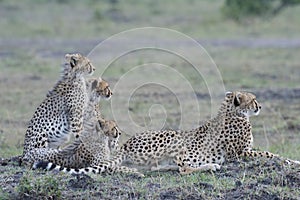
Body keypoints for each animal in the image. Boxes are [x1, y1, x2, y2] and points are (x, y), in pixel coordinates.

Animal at [34, 90, 298, 175]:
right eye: (252, 100)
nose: (259, 106)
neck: (233, 113)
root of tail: (126, 143)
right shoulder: (241, 153)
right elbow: (271, 154)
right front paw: (292, 161)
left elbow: (271, 154)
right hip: (174, 138)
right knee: (184, 169)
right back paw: (211, 165)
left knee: (163, 168)